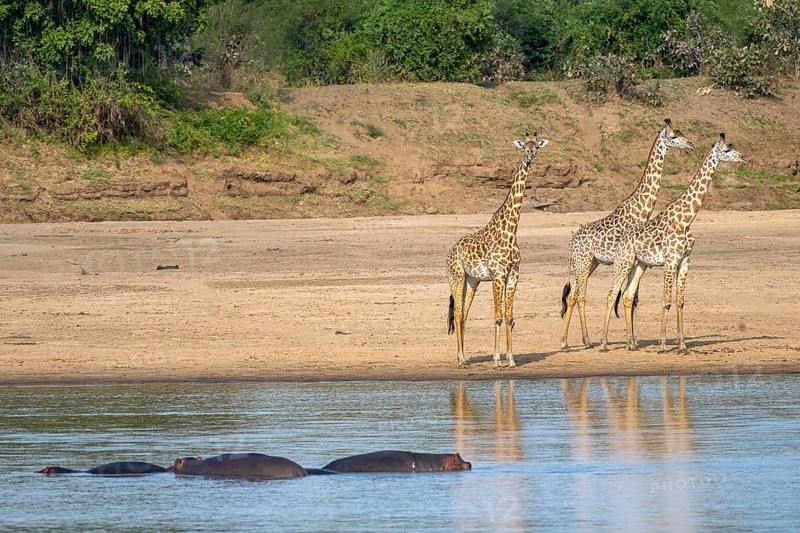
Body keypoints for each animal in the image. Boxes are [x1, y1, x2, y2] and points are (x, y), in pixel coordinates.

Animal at [446, 132, 550, 368]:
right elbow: (498, 317)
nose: (529, 157)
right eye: (524, 146)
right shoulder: (497, 275)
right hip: (456, 277)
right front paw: (496, 360)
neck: (511, 230)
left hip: (471, 280)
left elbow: (509, 317)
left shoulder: (513, 274)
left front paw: (510, 359)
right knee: (457, 314)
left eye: (537, 146)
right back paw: (461, 359)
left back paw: (462, 357)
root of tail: (450, 252)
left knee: (464, 314)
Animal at [559, 119, 695, 350]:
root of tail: (570, 241)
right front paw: (631, 340)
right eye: (674, 136)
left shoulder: (638, 261)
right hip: (583, 262)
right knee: (580, 295)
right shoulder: (632, 259)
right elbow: (629, 297)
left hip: (588, 263)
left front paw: (634, 340)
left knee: (572, 295)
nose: (691, 145)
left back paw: (565, 341)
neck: (641, 209)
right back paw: (587, 341)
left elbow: (633, 298)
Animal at [599, 133, 746, 353]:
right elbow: (666, 301)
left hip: (639, 265)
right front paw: (662, 344)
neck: (686, 219)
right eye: (727, 149)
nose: (744, 157)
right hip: (623, 262)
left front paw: (682, 344)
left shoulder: (685, 260)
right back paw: (604, 344)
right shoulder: (670, 260)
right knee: (611, 294)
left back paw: (631, 344)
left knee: (627, 295)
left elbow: (680, 301)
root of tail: (622, 238)